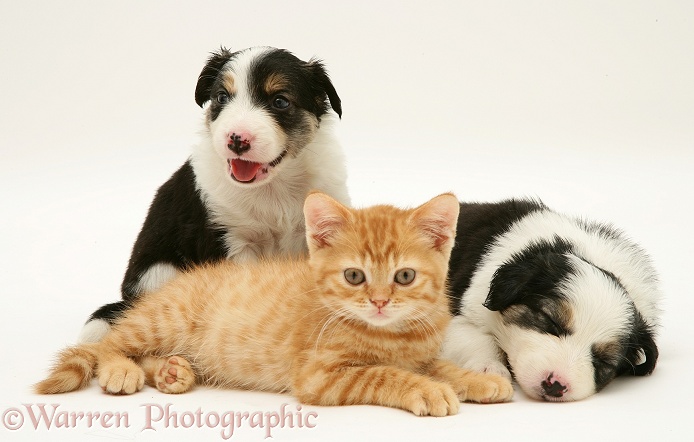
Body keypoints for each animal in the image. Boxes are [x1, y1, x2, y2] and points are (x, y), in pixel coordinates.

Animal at [35, 192, 512, 416]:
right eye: (354, 276)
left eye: (405, 277)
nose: (378, 302)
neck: (393, 335)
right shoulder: (320, 376)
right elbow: (385, 374)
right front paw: (429, 391)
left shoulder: (423, 353)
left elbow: (440, 365)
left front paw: (478, 380)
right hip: (161, 320)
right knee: (108, 344)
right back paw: (122, 369)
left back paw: (173, 371)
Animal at [79, 45, 350, 342]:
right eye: (222, 97)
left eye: (280, 101)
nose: (236, 139)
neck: (274, 188)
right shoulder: (227, 239)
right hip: (159, 274)